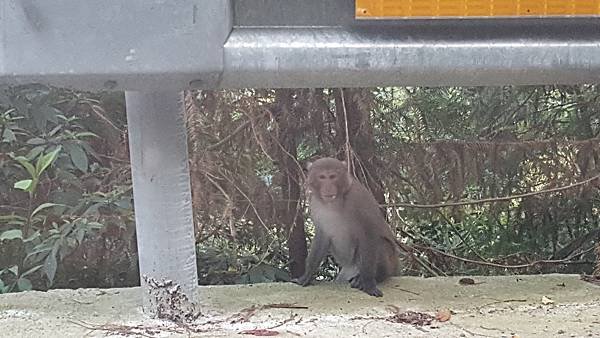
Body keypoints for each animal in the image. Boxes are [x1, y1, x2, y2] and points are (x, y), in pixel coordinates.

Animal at [294, 157, 398, 298]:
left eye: (332, 176)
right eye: (322, 177)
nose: (328, 187)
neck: (334, 201)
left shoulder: (358, 198)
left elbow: (369, 233)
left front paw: (369, 283)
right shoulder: (315, 204)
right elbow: (322, 235)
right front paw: (306, 276)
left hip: (388, 264)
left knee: (381, 244)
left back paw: (372, 277)